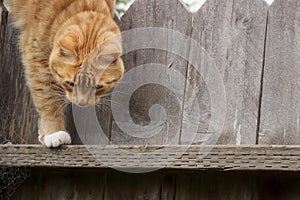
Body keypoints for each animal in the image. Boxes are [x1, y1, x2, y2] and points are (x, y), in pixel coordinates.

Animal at [4, 0, 124, 147]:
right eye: (70, 83)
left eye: (98, 87)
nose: (82, 103)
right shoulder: (37, 62)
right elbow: (47, 99)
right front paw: (53, 132)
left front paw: (43, 134)